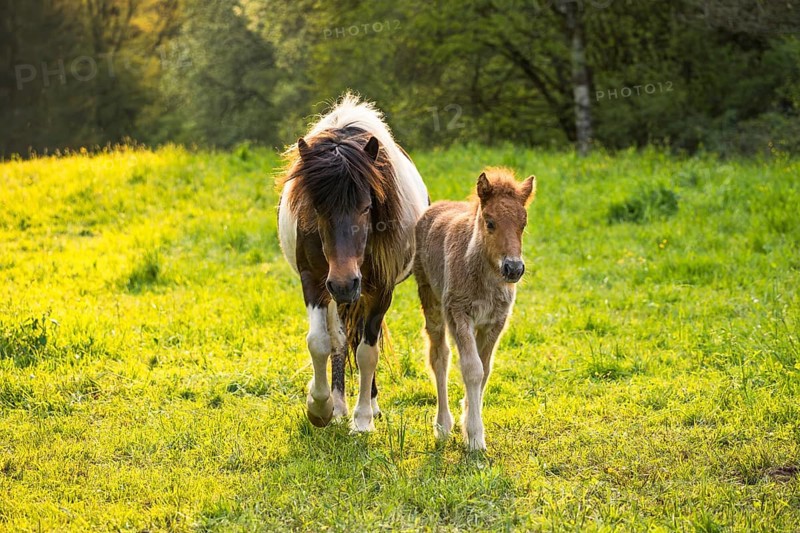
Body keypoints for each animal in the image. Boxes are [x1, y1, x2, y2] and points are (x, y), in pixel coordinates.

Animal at [277, 94, 428, 431]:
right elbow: (320, 342)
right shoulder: (314, 281)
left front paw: (362, 421)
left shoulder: (381, 289)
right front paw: (320, 407)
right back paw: (338, 405)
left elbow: (367, 353)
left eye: (367, 206)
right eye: (317, 208)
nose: (345, 283)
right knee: (341, 338)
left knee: (361, 340)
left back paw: (369, 405)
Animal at [413, 167, 536, 450]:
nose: (513, 269)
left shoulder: (495, 322)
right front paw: (476, 438)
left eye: (523, 224)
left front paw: (469, 421)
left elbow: (485, 368)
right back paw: (442, 425)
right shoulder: (459, 314)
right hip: (431, 302)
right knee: (440, 356)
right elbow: (472, 369)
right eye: (490, 222)